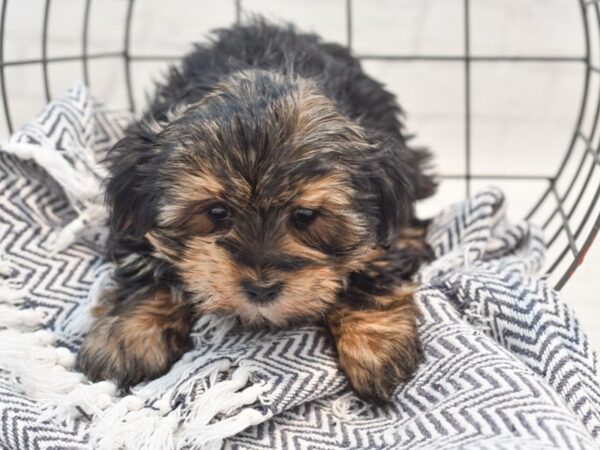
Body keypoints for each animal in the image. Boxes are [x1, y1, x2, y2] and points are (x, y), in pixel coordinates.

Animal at [78, 19, 436, 402]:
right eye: (217, 213)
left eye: (304, 216)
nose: (262, 289)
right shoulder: (134, 212)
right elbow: (143, 266)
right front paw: (126, 335)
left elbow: (372, 262)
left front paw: (376, 344)